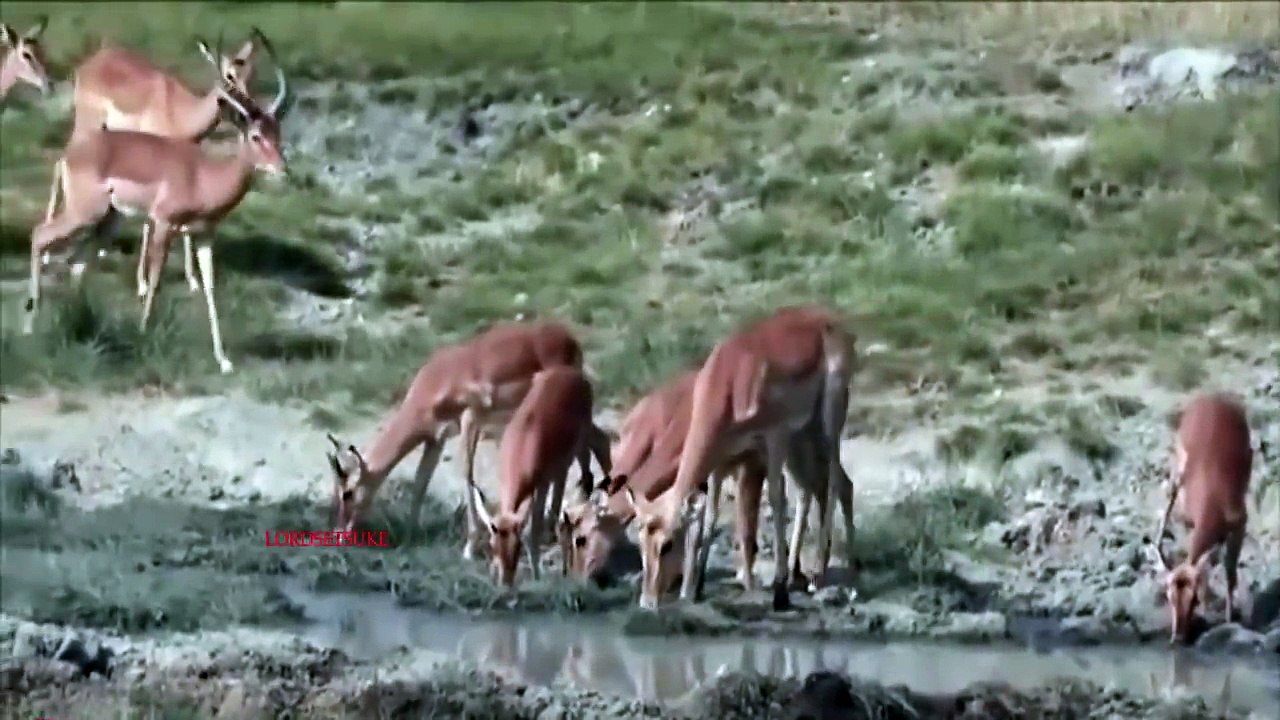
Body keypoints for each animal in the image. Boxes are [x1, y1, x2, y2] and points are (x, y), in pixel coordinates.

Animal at [22, 40, 292, 375]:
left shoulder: (204, 235)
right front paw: (142, 333)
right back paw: (29, 325)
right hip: (83, 213)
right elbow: (155, 280)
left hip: (107, 220)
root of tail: (72, 156)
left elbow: (210, 287)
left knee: (77, 262)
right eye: (255, 136)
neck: (202, 177)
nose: (283, 169)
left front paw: (224, 360)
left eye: (277, 133)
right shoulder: (164, 224)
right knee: (40, 236)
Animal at [325, 320, 613, 557]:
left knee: (592, 446)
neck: (436, 382)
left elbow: (467, 476)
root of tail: (567, 337)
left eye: (348, 492)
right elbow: (421, 482)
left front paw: (469, 547)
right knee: (592, 446)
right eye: (336, 491)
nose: (340, 534)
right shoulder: (437, 439)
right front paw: (408, 537)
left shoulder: (470, 420)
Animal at [468, 365, 599, 588]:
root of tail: (571, 373)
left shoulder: (541, 484)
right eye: (493, 546)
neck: (522, 446)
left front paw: (538, 575)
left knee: (585, 479)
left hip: (577, 450)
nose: (506, 584)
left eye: (518, 547)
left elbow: (533, 529)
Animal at [628, 305, 855, 611]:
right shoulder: (721, 459)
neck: (730, 380)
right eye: (640, 542)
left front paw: (780, 592)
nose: (647, 601)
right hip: (806, 433)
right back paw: (842, 570)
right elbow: (711, 514)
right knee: (830, 485)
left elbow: (776, 500)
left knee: (830, 485)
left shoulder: (774, 438)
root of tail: (828, 318)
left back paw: (820, 575)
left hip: (828, 422)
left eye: (667, 544)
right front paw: (695, 589)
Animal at [1151, 392, 1253, 645]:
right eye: (1169, 596)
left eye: (1194, 599)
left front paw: (1229, 620)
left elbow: (1230, 573)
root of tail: (1214, 396)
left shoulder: (1240, 525)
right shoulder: (1191, 523)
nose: (1178, 637)